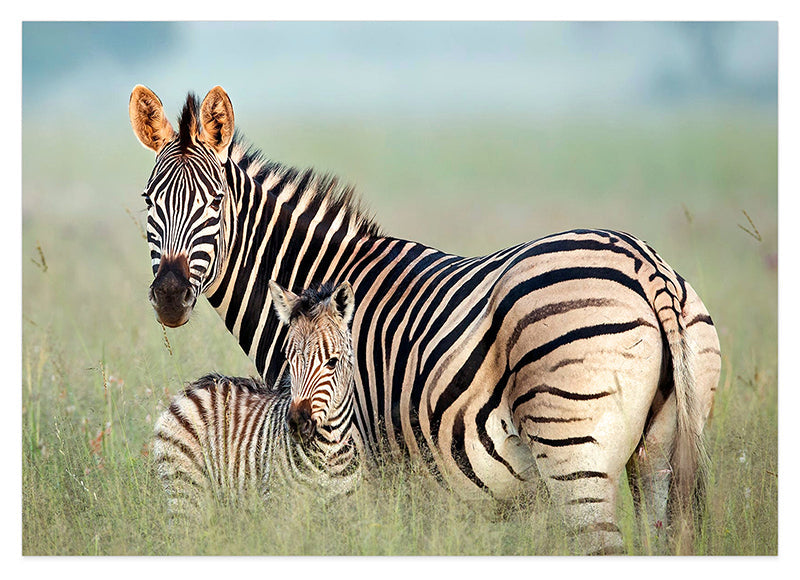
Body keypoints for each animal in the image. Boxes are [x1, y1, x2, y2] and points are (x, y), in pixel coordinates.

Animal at [152, 280, 362, 514]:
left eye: (332, 362)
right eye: (289, 359)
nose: (297, 423)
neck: (330, 450)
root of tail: (195, 387)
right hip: (185, 491)